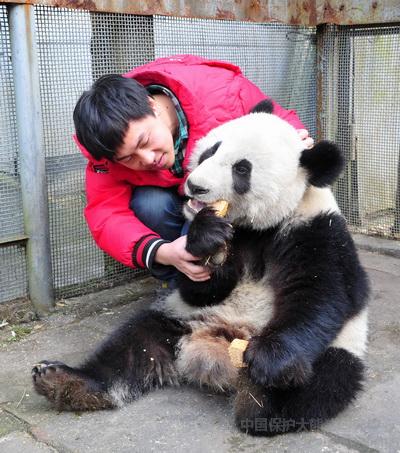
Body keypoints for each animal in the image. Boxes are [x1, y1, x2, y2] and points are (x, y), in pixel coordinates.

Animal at [32, 100, 370, 434]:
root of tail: (214, 349)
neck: (258, 227)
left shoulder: (316, 232)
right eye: (211, 151)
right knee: (133, 344)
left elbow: (320, 295)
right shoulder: (233, 244)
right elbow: (201, 288)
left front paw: (267, 360)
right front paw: (206, 237)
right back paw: (64, 381)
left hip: (337, 349)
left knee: (321, 384)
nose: (195, 186)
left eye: (242, 169)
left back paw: (258, 395)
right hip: (178, 318)